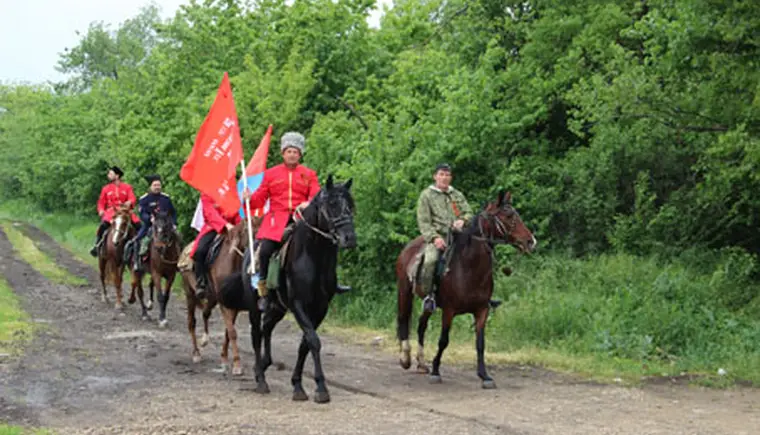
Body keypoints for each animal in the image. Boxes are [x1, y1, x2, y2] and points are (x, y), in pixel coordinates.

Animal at [176, 220, 252, 370]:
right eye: (249, 232)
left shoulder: (233, 302)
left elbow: (228, 331)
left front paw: (224, 358)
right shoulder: (223, 303)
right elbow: (232, 332)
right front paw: (237, 364)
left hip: (211, 298)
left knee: (205, 313)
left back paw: (204, 340)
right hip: (190, 294)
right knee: (191, 322)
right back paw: (196, 353)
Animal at [220, 175, 356, 406]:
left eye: (351, 205)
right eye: (332, 204)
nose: (350, 238)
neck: (314, 257)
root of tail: (248, 251)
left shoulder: (320, 308)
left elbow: (305, 344)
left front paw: (298, 384)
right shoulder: (298, 304)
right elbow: (313, 341)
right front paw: (320, 388)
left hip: (277, 308)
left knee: (266, 328)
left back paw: (264, 363)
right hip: (255, 306)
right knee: (256, 334)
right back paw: (261, 380)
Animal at [394, 192, 536, 390]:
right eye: (508, 215)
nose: (531, 241)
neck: (468, 267)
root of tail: (408, 248)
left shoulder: (482, 310)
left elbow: (480, 343)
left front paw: (485, 376)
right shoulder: (449, 310)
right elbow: (443, 340)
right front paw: (436, 371)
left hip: (429, 305)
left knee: (421, 325)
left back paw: (422, 363)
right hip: (404, 292)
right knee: (403, 320)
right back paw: (405, 359)